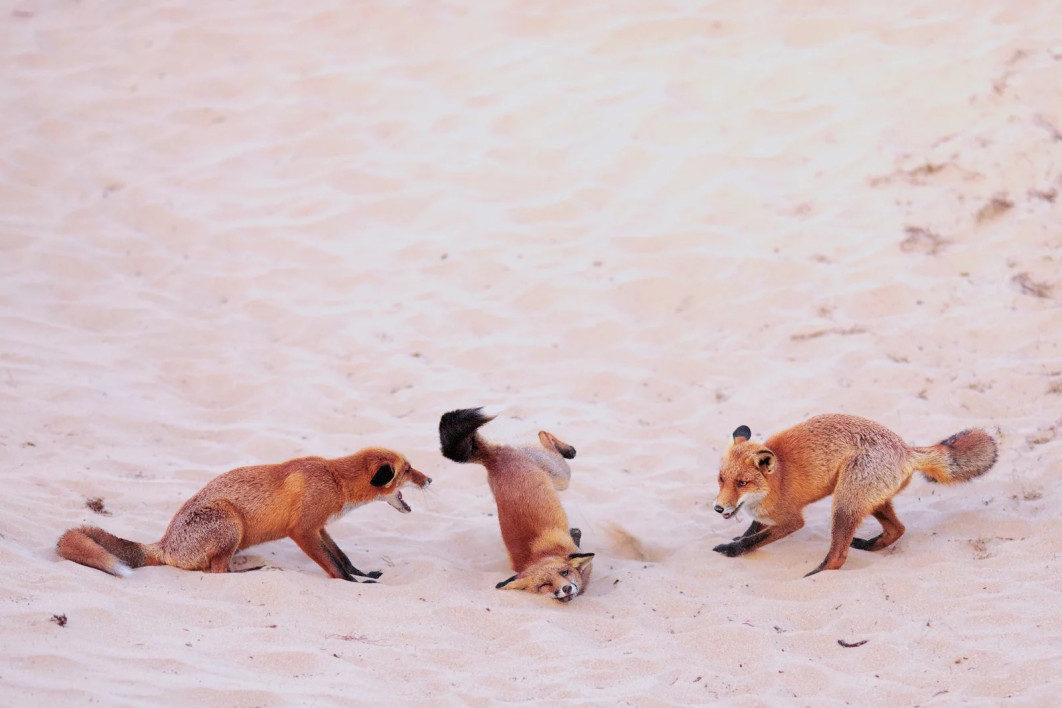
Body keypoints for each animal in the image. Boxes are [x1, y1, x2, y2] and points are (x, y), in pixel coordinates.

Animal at [57, 447, 431, 581]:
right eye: (408, 470)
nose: (429, 480)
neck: (334, 478)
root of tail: (165, 544)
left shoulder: (319, 527)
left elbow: (342, 557)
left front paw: (363, 574)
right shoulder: (302, 530)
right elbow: (334, 567)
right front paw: (353, 584)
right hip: (230, 522)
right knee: (217, 572)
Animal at [438, 408, 593, 603]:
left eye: (564, 573)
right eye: (545, 585)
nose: (565, 588)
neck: (541, 554)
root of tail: (493, 457)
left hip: (561, 476)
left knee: (547, 439)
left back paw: (566, 448)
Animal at [711, 414, 998, 576]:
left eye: (742, 482)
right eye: (721, 478)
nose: (718, 508)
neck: (776, 478)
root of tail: (906, 449)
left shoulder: (792, 520)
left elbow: (755, 539)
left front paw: (731, 549)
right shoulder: (765, 514)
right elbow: (752, 530)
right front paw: (739, 537)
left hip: (844, 503)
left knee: (838, 556)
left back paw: (816, 575)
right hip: (870, 500)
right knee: (898, 529)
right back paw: (868, 545)